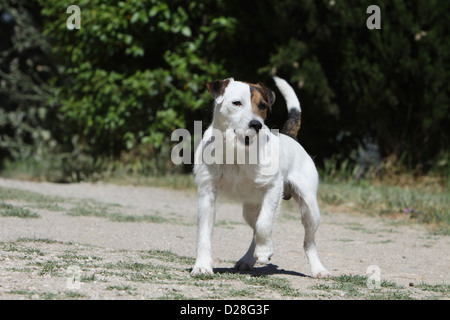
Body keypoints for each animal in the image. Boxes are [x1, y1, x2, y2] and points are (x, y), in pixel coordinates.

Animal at [190, 77, 330, 278]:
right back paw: (248, 259)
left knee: (307, 242)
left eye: (262, 105)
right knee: (255, 229)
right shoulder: (207, 192)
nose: (256, 125)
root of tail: (290, 137)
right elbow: (204, 232)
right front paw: (202, 266)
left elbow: (264, 224)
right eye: (236, 103)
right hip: (250, 210)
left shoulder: (273, 188)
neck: (237, 151)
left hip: (310, 209)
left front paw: (265, 251)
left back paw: (318, 269)